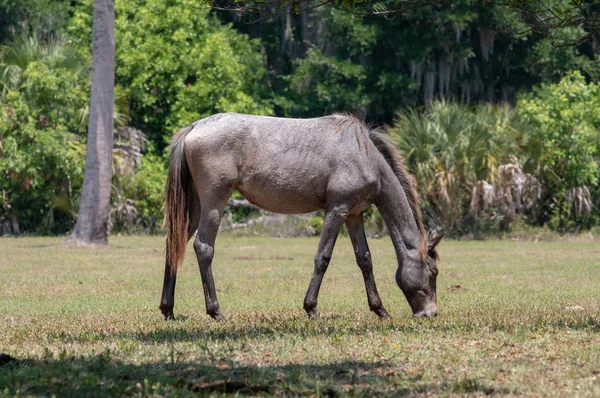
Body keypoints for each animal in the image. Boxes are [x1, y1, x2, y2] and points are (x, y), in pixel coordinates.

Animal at [159, 112, 440, 320]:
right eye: (433, 271)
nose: (431, 313)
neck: (364, 154)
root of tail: (195, 127)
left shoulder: (353, 214)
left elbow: (364, 260)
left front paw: (379, 309)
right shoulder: (337, 209)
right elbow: (323, 257)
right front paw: (311, 308)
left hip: (195, 206)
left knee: (174, 244)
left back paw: (168, 309)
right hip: (214, 204)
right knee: (203, 248)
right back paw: (216, 311)